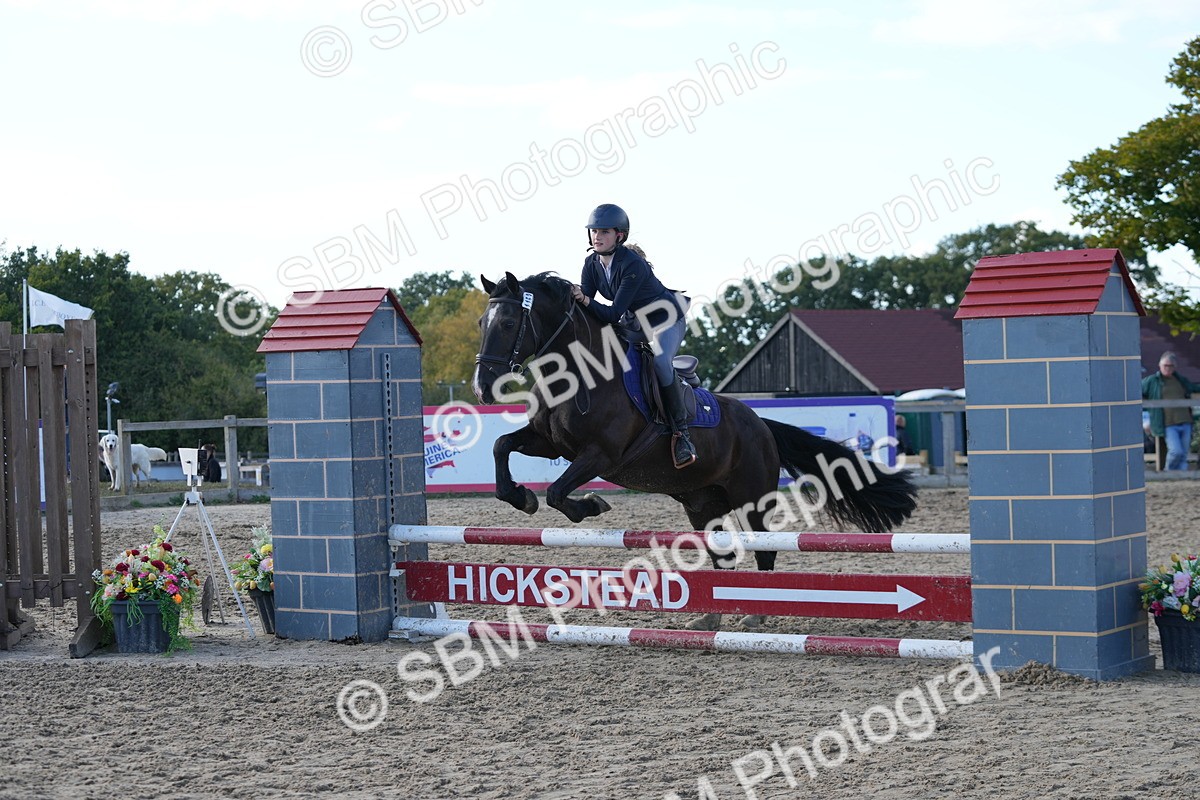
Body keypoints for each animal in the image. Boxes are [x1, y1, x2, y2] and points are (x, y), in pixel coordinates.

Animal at [472, 271, 918, 630]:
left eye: (509, 322)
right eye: (481, 322)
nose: (482, 387)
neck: (578, 372)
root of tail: (761, 424)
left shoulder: (600, 455)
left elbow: (558, 492)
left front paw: (591, 505)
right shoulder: (547, 442)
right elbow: (501, 446)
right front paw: (520, 497)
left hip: (752, 498)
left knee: (764, 548)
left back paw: (756, 613)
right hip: (703, 504)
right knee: (723, 555)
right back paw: (710, 618)